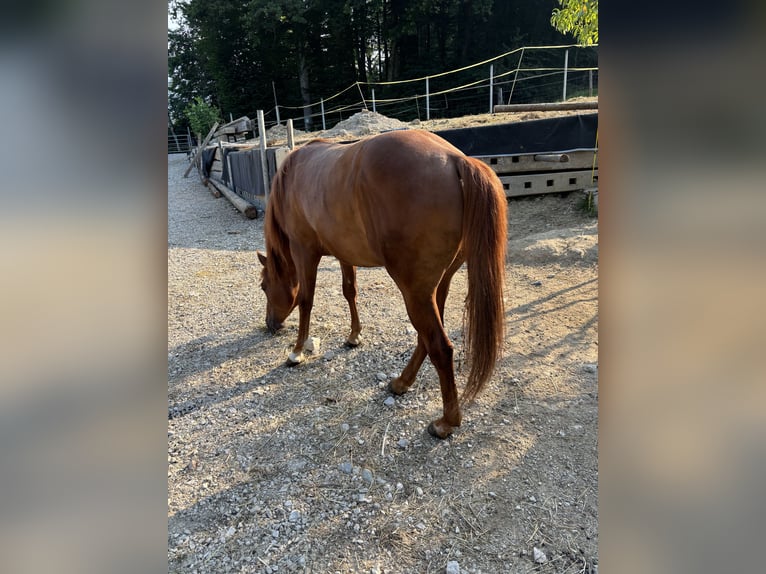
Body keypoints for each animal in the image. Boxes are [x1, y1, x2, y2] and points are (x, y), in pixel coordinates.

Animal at [258, 128, 510, 438]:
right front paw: (354, 336)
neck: (293, 175)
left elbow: (306, 300)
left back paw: (446, 422)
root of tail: (454, 159)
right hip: (436, 287)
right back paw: (402, 382)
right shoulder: (344, 253)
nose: (270, 324)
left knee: (440, 347)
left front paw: (296, 352)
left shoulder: (304, 250)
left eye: (264, 287)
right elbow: (349, 291)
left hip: (414, 291)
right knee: (425, 338)